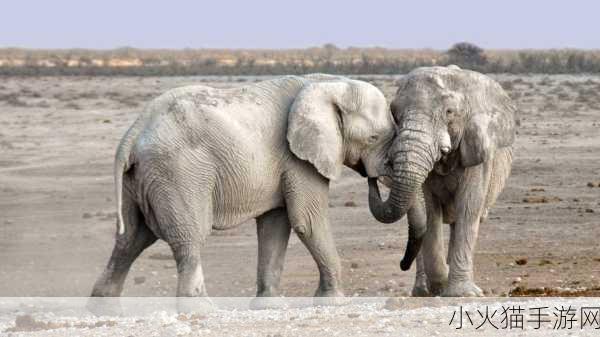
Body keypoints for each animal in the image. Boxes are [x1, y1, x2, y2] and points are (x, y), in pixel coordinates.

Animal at [89, 75, 398, 306]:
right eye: (374, 138)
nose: (374, 177)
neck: (329, 83)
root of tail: (133, 132)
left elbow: (275, 225)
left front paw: (269, 306)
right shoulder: (298, 159)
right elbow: (307, 221)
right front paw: (332, 301)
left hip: (139, 179)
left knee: (131, 239)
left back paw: (104, 309)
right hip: (179, 172)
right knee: (189, 236)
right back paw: (203, 311)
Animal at [368, 66, 516, 296]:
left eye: (449, 112)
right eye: (394, 113)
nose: (373, 176)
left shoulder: (477, 153)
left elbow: (469, 207)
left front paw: (462, 293)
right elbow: (430, 211)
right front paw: (440, 284)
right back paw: (423, 291)